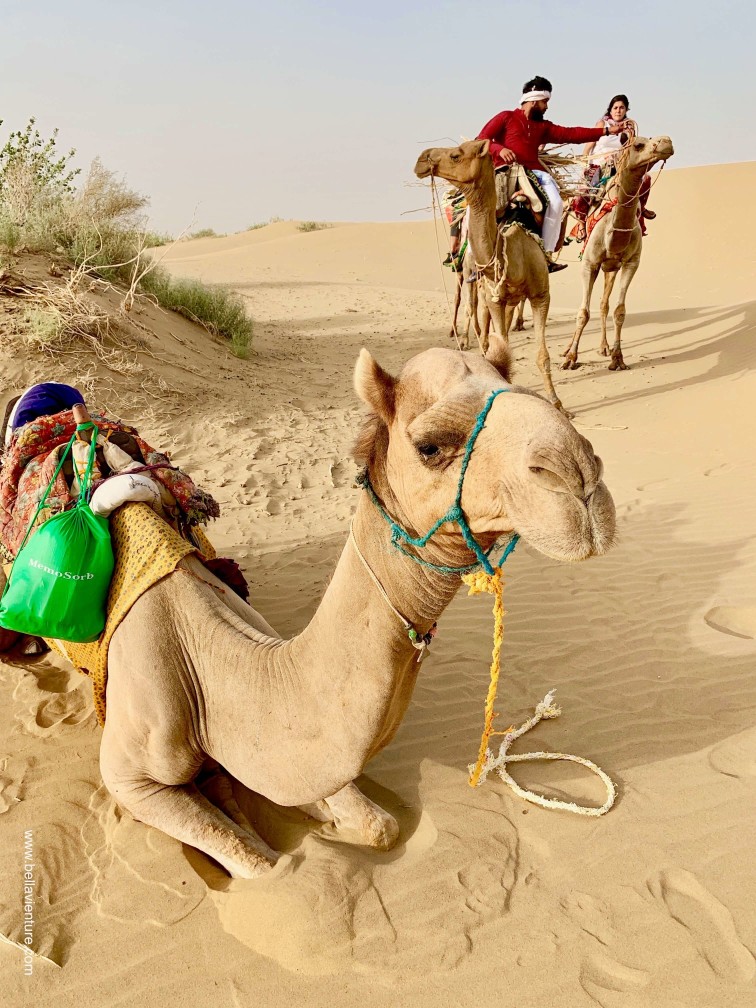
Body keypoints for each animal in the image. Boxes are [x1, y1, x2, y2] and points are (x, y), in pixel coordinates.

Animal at [75, 346, 617, 880]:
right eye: (430, 447)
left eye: (536, 396)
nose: (580, 473)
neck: (211, 669)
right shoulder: (130, 777)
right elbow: (263, 865)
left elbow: (377, 824)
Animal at [415, 141, 563, 410]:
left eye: (456, 155)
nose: (422, 159)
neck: (513, 253)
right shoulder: (494, 299)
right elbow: (501, 346)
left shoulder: (541, 296)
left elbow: (542, 354)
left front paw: (556, 402)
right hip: (483, 291)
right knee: (477, 318)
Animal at [562, 135, 674, 372]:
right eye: (638, 144)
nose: (666, 141)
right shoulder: (589, 263)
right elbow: (582, 313)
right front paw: (571, 358)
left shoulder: (631, 263)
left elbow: (619, 311)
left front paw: (618, 358)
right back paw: (567, 349)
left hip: (611, 268)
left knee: (604, 304)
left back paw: (604, 347)